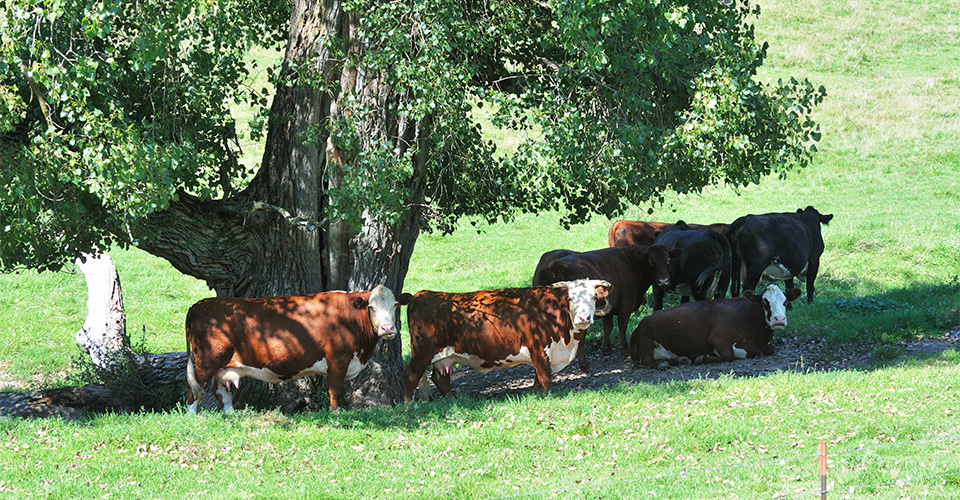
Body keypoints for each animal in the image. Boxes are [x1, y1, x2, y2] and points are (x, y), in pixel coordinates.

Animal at [185, 285, 401, 413]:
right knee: (195, 389)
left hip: (224, 366)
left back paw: (232, 415)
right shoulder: (338, 358)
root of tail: (200, 304)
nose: (388, 328)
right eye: (371, 307)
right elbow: (335, 390)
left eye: (395, 305)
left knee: (221, 391)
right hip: (206, 361)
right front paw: (336, 414)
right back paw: (193, 417)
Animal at [401, 279, 612, 402]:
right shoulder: (539, 349)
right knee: (410, 375)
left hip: (444, 357)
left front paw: (534, 394)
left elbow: (538, 378)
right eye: (571, 299)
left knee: (440, 378)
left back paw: (453, 400)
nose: (584, 318)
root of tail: (421, 295)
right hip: (422, 351)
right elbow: (545, 378)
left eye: (594, 297)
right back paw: (408, 405)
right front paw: (546, 396)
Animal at [532, 245, 680, 369]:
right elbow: (622, 325)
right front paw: (623, 347)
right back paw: (584, 364)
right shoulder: (625, 304)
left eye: (668, 261)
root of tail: (553, 268)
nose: (663, 281)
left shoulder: (608, 307)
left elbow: (607, 327)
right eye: (651, 262)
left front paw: (605, 348)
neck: (632, 264)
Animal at [630, 284, 803, 369]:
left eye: (785, 302)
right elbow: (729, 355)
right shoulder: (717, 337)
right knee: (647, 360)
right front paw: (702, 358)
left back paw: (681, 359)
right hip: (646, 334)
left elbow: (771, 349)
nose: (779, 319)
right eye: (764, 302)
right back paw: (663, 364)